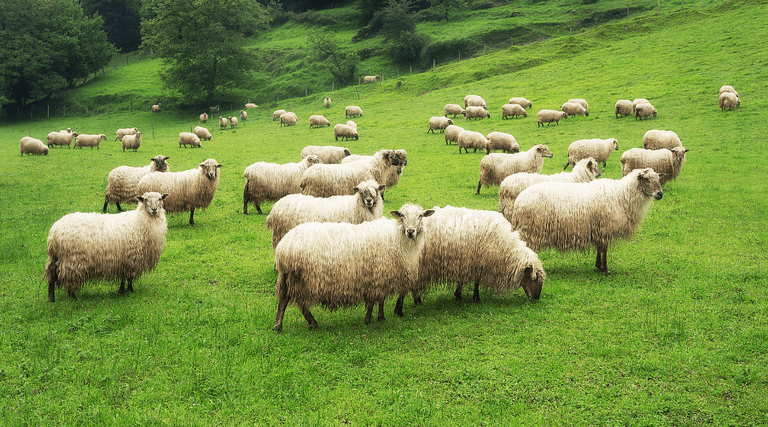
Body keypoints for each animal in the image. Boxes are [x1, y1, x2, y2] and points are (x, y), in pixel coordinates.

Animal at [272, 204, 435, 331]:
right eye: (402, 215)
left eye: (421, 216)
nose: (411, 231)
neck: (396, 238)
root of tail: (284, 247)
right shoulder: (378, 276)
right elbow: (374, 301)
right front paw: (370, 319)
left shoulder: (381, 276)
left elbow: (380, 300)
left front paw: (381, 317)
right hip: (304, 279)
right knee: (299, 303)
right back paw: (312, 323)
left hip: (288, 277)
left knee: (284, 300)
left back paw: (278, 326)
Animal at [393, 206, 546, 317]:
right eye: (534, 279)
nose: (536, 299)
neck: (504, 246)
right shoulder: (478, 262)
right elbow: (477, 282)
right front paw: (476, 298)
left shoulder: (467, 262)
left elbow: (464, 281)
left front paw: (458, 294)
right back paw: (400, 309)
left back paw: (415, 301)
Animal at [508, 168, 664, 274]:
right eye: (647, 179)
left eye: (658, 179)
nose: (660, 194)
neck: (622, 195)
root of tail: (519, 200)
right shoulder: (605, 228)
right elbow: (604, 249)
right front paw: (605, 269)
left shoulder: (599, 230)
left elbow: (600, 249)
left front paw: (598, 266)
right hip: (530, 230)